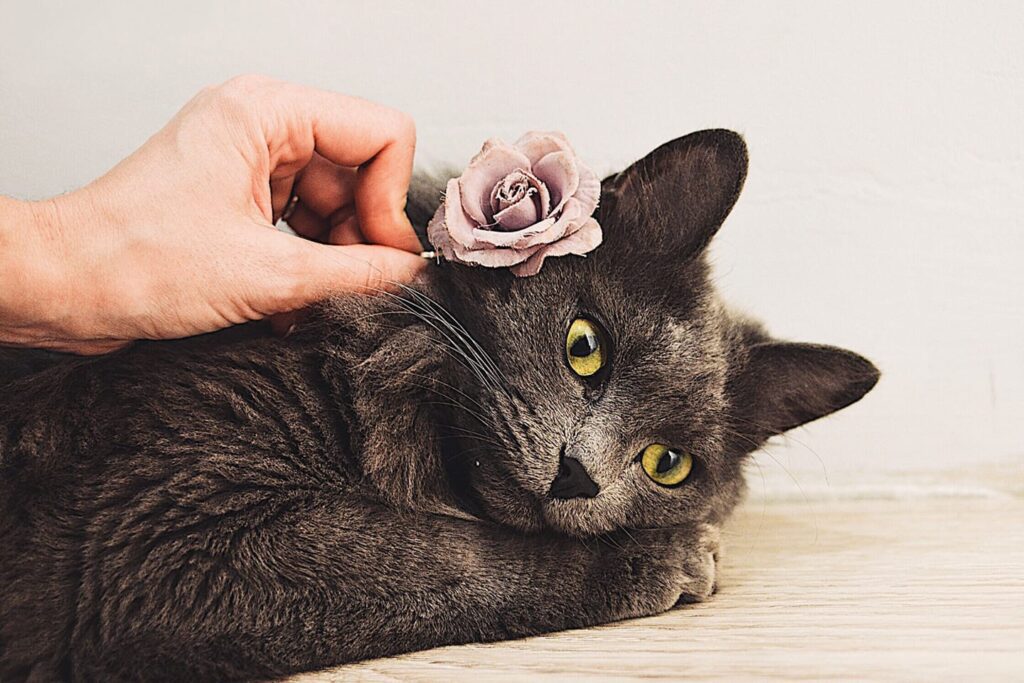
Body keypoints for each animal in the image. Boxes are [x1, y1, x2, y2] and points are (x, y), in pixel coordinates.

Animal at [0, 131, 880, 679]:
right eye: (585, 345)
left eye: (669, 464)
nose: (579, 476)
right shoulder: (171, 534)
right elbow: (452, 557)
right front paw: (665, 558)